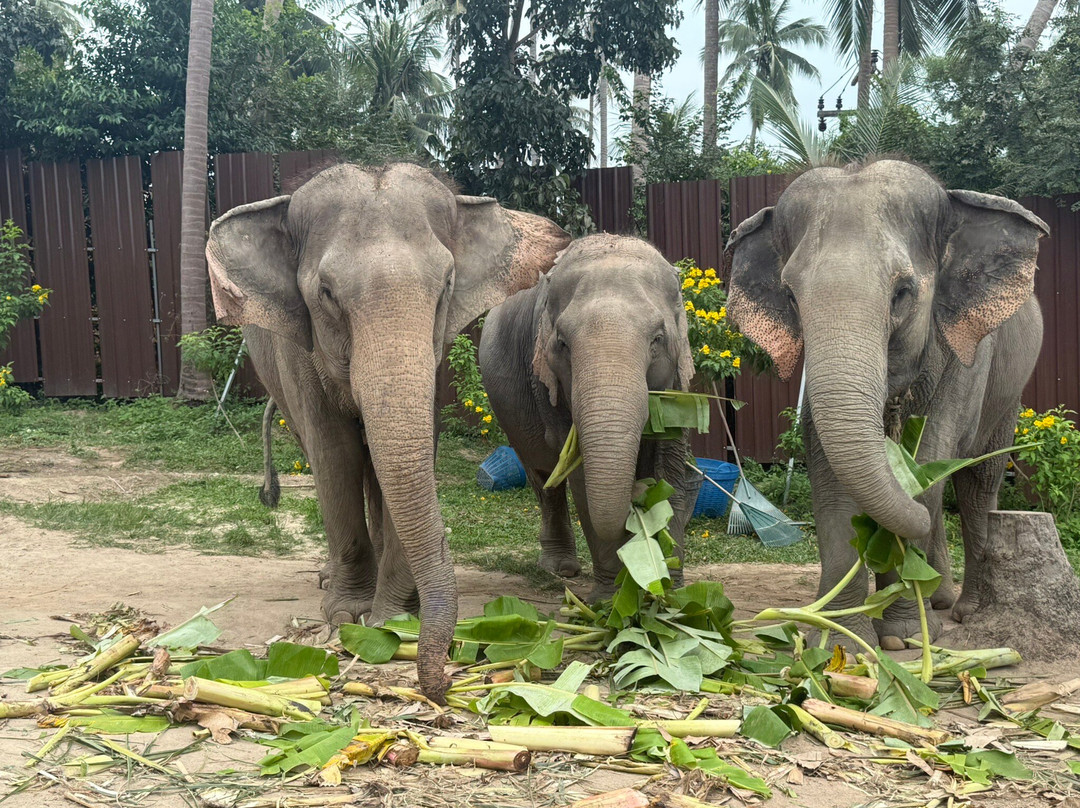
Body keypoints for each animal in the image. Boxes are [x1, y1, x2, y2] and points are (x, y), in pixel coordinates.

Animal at [205, 162, 570, 700]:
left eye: (446, 285)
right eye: (326, 294)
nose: (442, 680)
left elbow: (412, 446)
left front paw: (395, 618)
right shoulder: (299, 353)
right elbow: (333, 452)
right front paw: (347, 616)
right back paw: (328, 578)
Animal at [479, 234, 700, 599]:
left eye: (658, 339)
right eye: (561, 343)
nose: (637, 492)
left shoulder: (678, 383)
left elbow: (670, 464)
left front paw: (673, 594)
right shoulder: (547, 387)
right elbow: (580, 477)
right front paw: (612, 600)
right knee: (544, 476)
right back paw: (560, 569)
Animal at [727, 159, 1048, 650]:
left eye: (902, 293)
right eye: (791, 297)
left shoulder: (966, 354)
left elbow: (932, 456)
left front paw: (904, 637)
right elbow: (827, 469)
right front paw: (839, 639)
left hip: (1008, 394)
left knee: (978, 483)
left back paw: (962, 609)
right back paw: (935, 598)